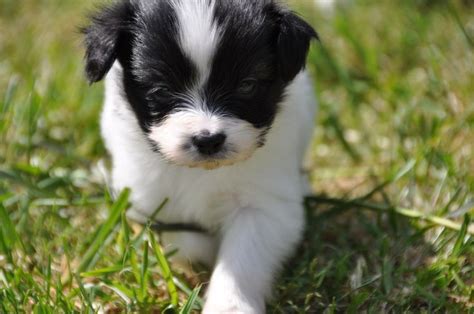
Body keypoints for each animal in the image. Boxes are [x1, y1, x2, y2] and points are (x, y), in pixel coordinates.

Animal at [83, 1, 316, 312]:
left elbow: (244, 257)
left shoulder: (266, 205)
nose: (208, 140)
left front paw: (230, 305)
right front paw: (206, 250)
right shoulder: (144, 199)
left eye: (247, 86)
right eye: (161, 90)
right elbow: (177, 238)